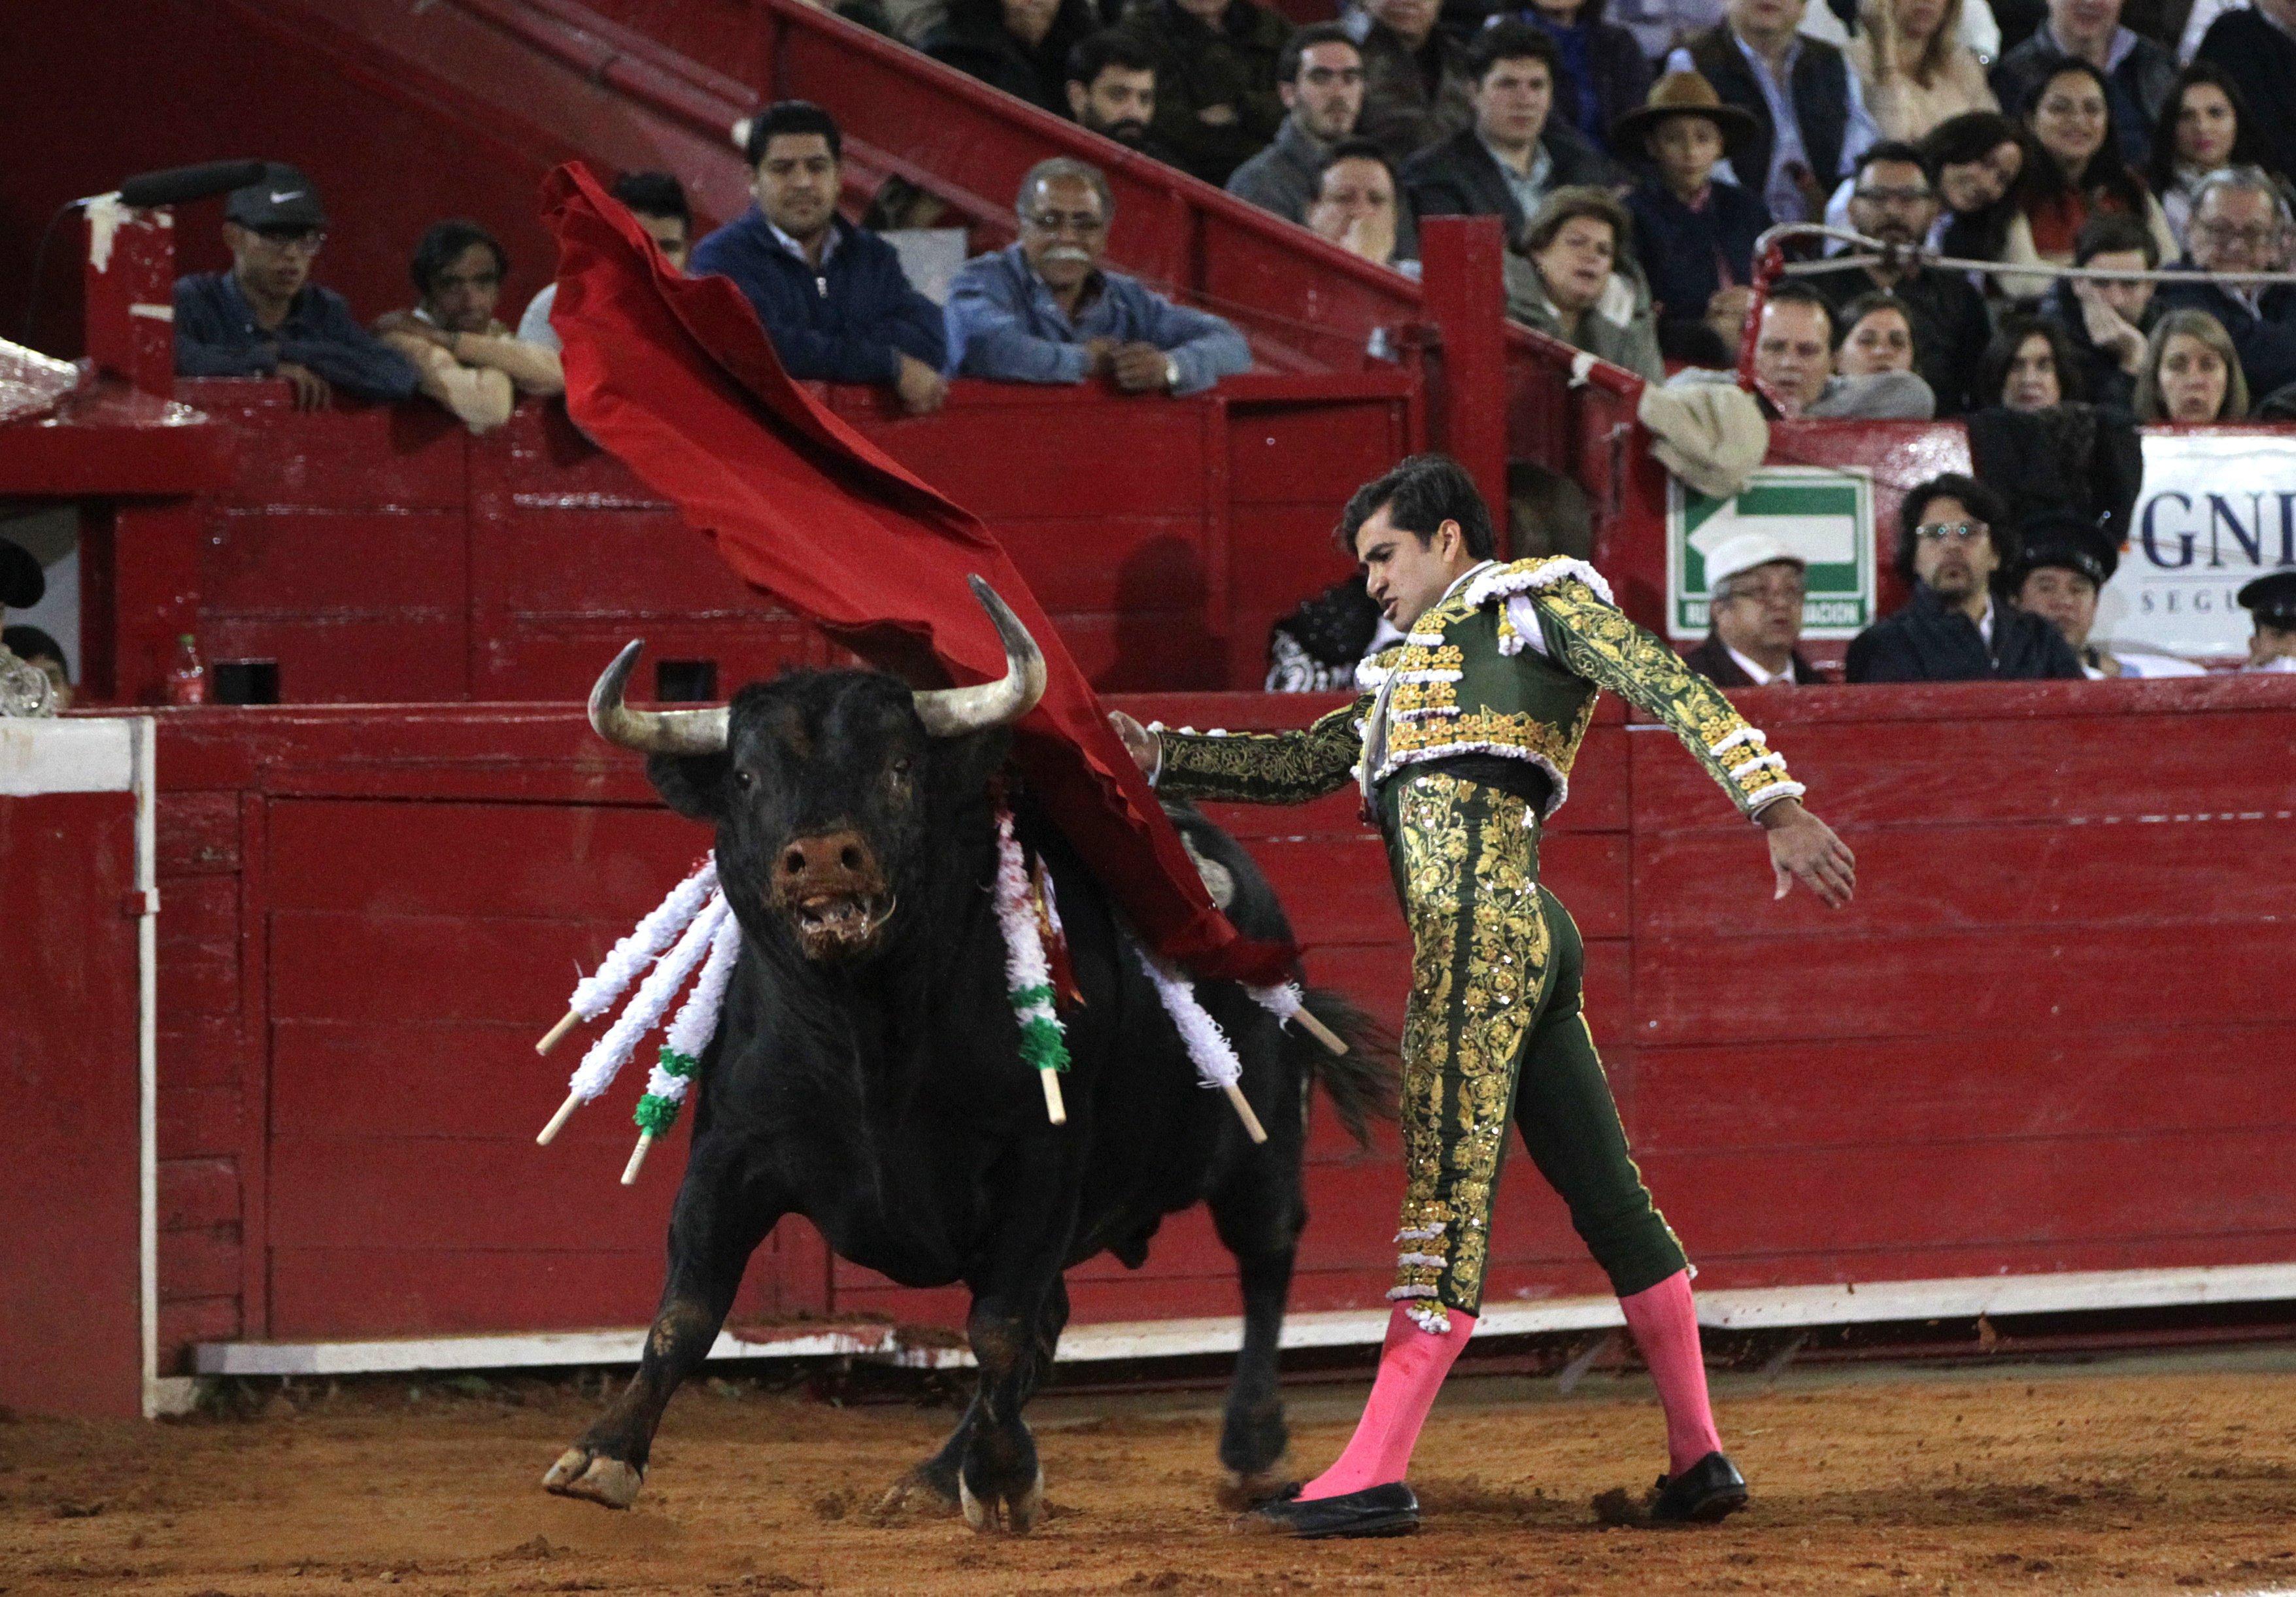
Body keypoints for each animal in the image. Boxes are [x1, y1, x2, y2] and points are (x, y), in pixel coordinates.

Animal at [544, 665, 1387, 1532]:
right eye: (745, 777)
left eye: (900, 766)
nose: (822, 857)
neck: (865, 1025)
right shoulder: (728, 1152)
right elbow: (686, 1308)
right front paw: (605, 1451)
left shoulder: (1040, 1163)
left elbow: (997, 1327)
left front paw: (1006, 1479)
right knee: (1052, 1320)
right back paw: (936, 1473)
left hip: (1260, 1141)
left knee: (1263, 1258)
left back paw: (1252, 1451)